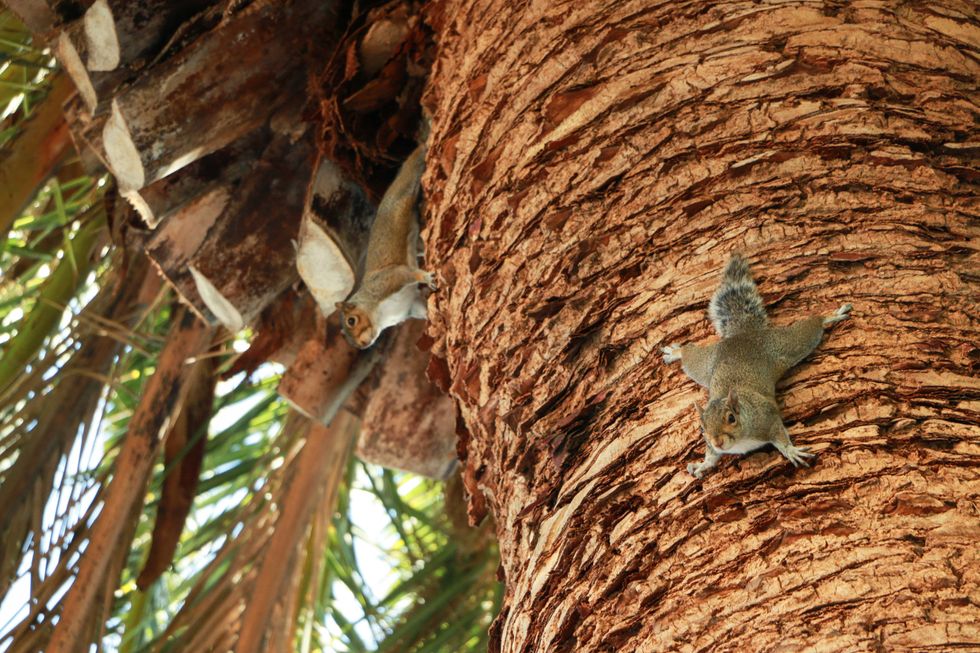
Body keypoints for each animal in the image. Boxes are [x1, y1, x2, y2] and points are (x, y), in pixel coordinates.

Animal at [664, 256, 852, 478]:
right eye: (702, 428)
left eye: (731, 418)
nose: (717, 442)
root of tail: (741, 335)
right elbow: (711, 456)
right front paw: (703, 464)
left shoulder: (767, 417)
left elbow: (779, 435)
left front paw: (791, 451)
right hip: (704, 364)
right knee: (689, 353)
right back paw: (676, 353)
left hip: (785, 345)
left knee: (810, 327)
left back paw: (831, 316)